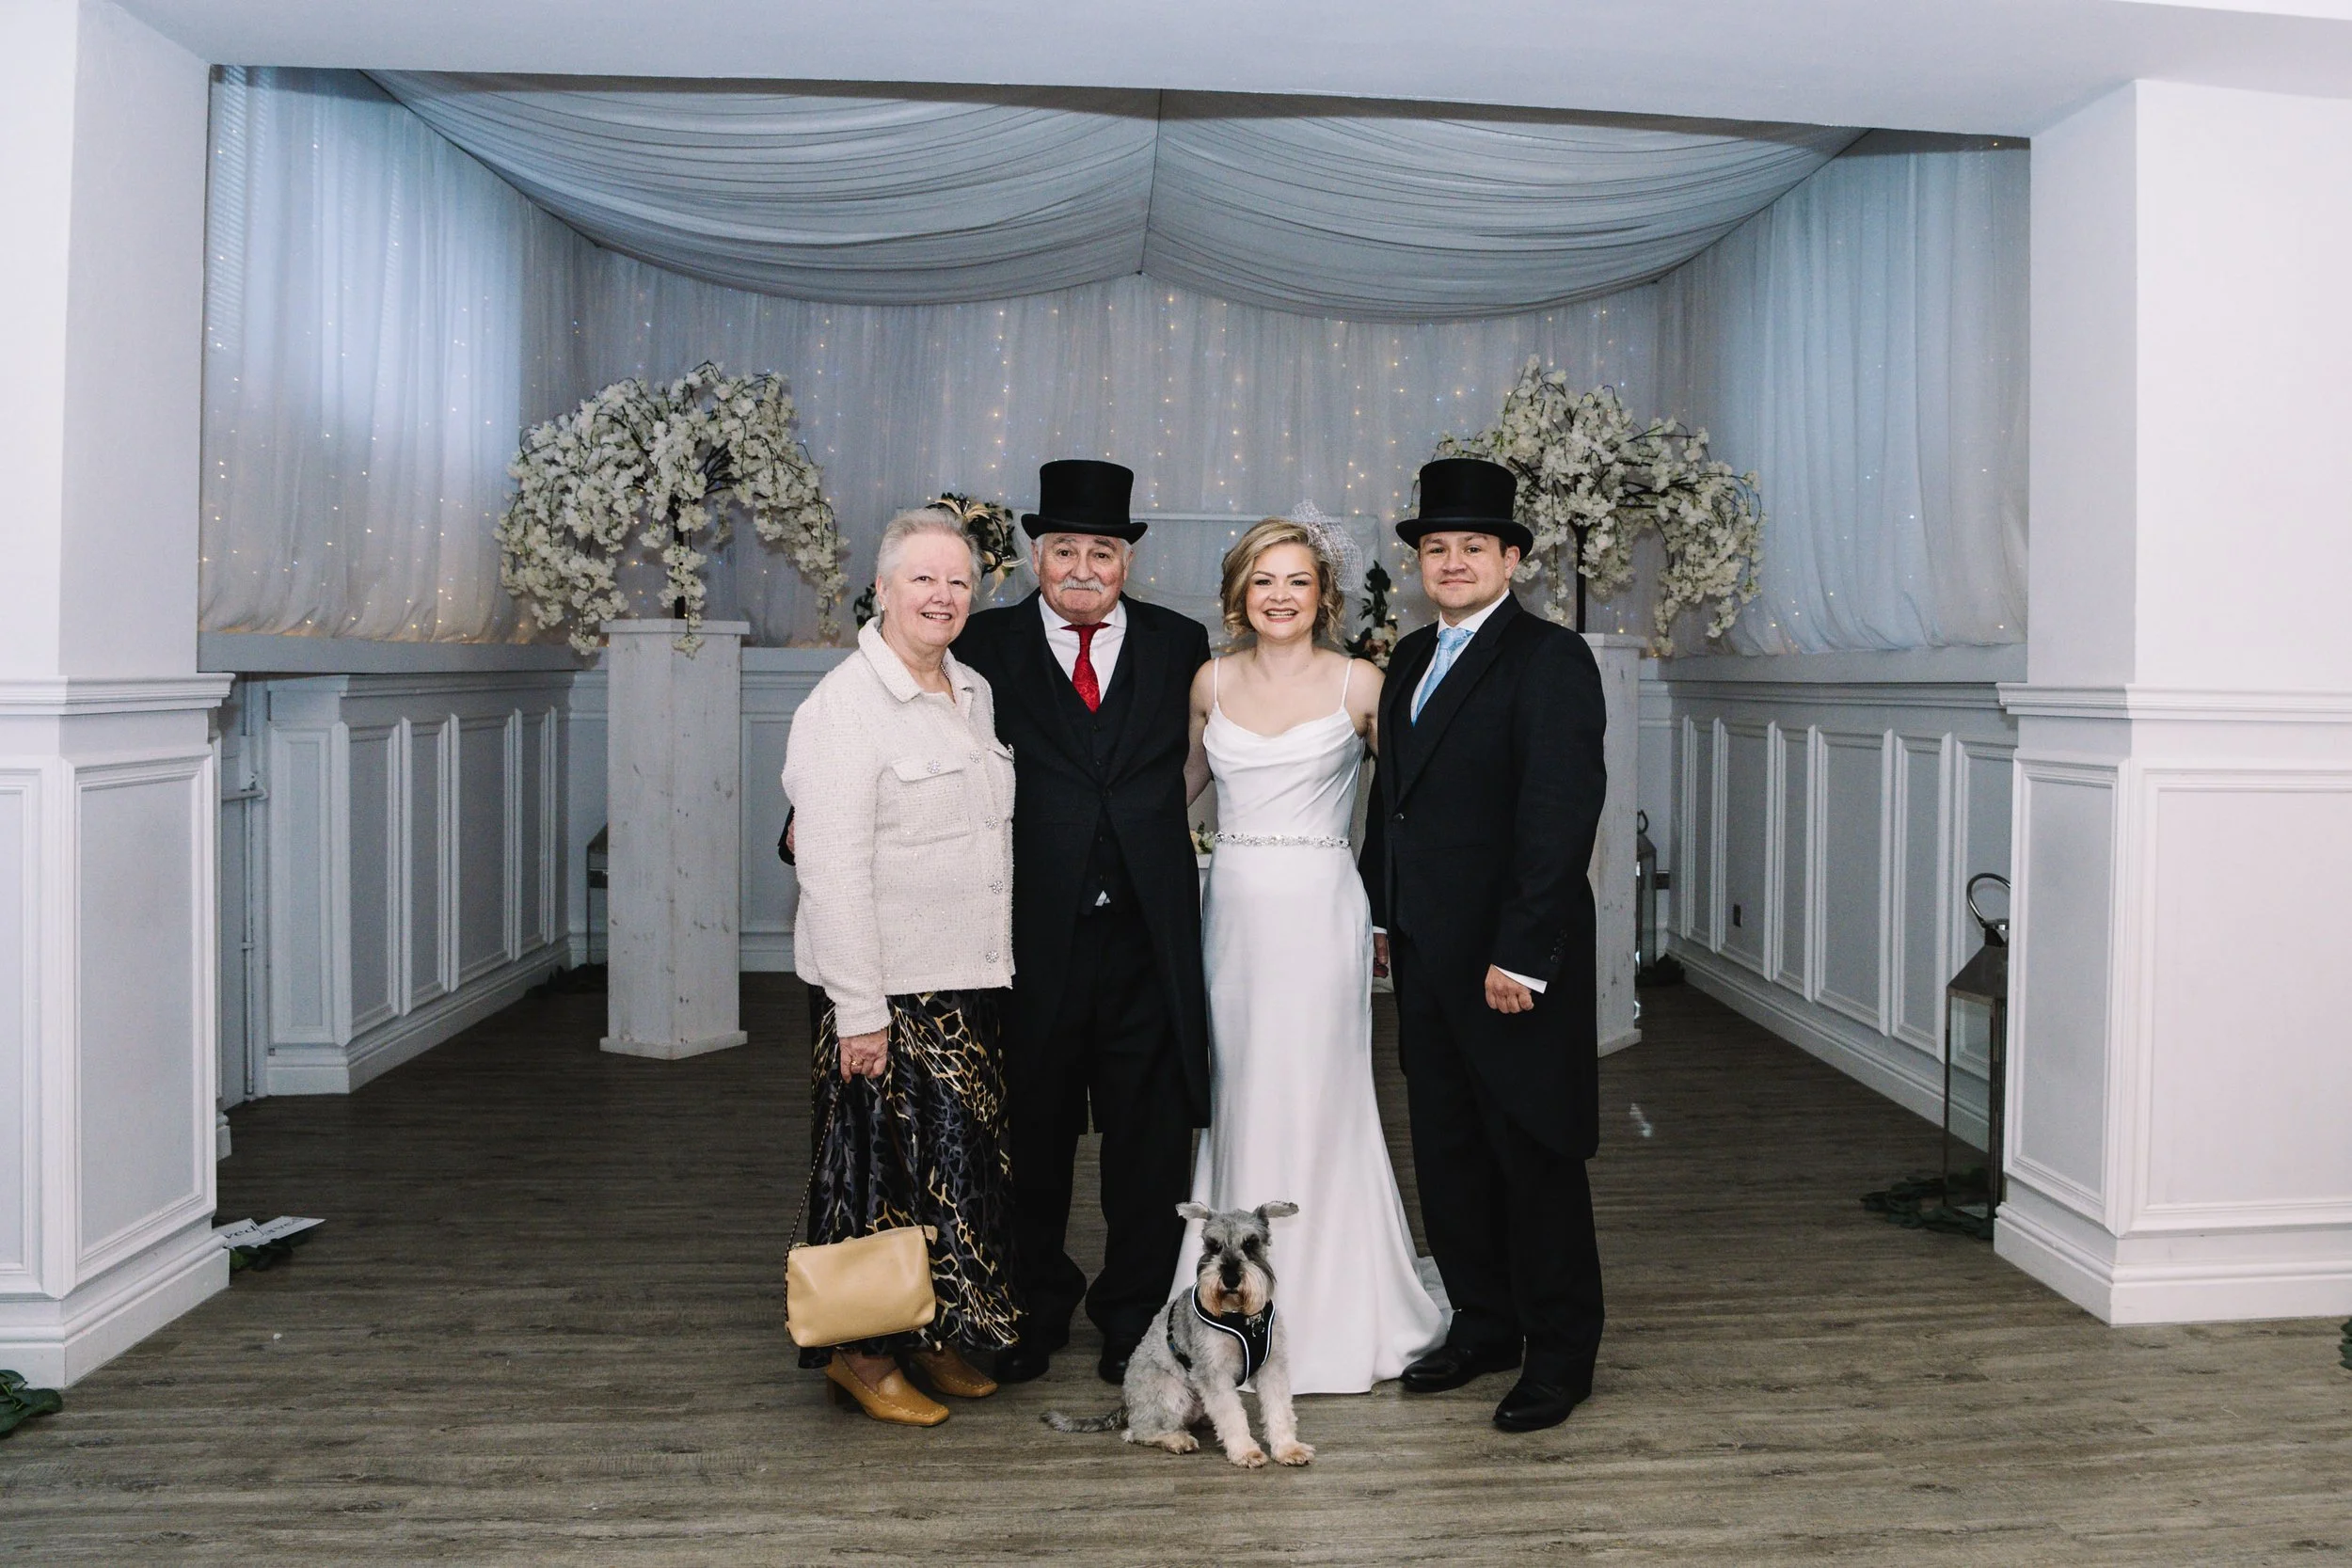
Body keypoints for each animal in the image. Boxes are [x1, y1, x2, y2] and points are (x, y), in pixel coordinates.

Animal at [1044, 1201, 1312, 1468]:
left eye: (1250, 1244)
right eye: (1213, 1246)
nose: (1230, 1278)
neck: (1240, 1315)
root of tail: (1128, 1404)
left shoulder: (1271, 1368)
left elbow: (1279, 1409)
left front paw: (1288, 1448)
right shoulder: (1214, 1373)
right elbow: (1232, 1415)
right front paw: (1246, 1452)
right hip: (1173, 1392)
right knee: (1138, 1431)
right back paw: (1177, 1440)